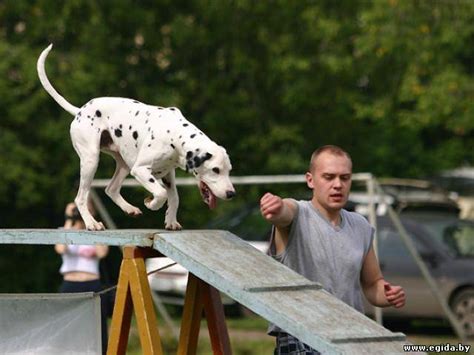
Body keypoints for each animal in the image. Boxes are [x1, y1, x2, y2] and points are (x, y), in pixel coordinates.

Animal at [37, 44, 235, 232]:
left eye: (229, 170)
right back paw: (92, 223)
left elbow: (174, 197)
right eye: (215, 170)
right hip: (91, 161)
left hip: (123, 164)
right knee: (80, 198)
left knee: (111, 189)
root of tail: (80, 111)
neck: (175, 134)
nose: (231, 193)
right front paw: (152, 204)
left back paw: (129, 209)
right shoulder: (141, 170)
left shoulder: (168, 174)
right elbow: (162, 194)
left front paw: (171, 221)